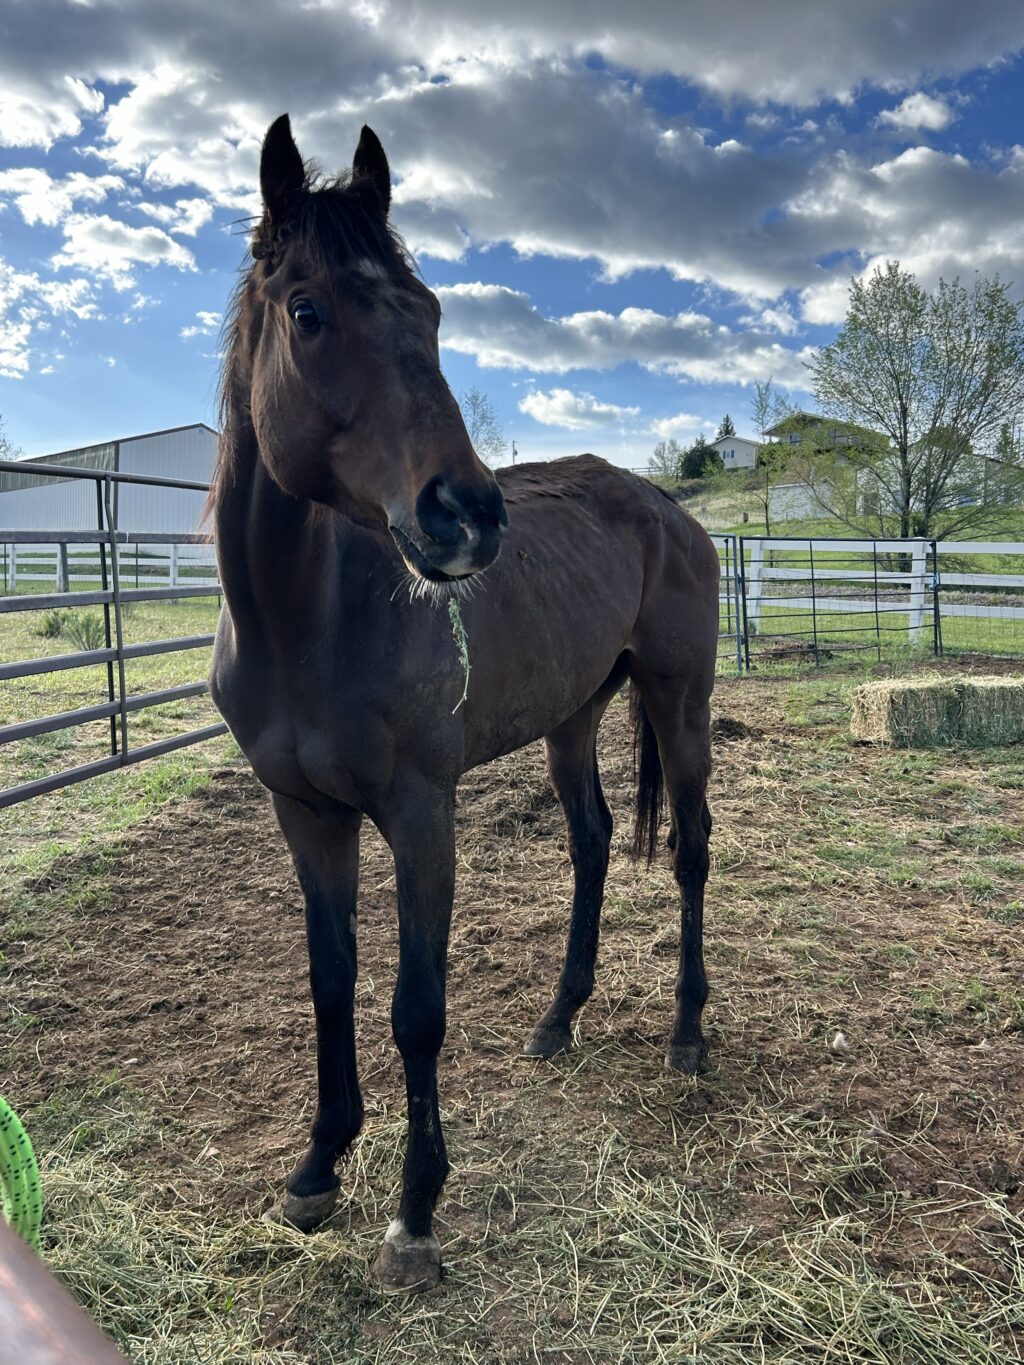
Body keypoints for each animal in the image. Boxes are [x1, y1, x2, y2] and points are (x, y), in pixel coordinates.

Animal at [208, 114, 720, 1288]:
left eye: (433, 313)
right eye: (308, 311)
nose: (468, 516)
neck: (309, 621)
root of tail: (668, 507)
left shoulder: (419, 813)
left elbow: (416, 1010)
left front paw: (415, 1211)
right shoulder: (304, 815)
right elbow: (331, 981)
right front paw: (318, 1166)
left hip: (679, 700)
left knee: (689, 849)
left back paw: (686, 1033)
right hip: (575, 715)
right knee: (592, 839)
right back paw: (559, 1016)